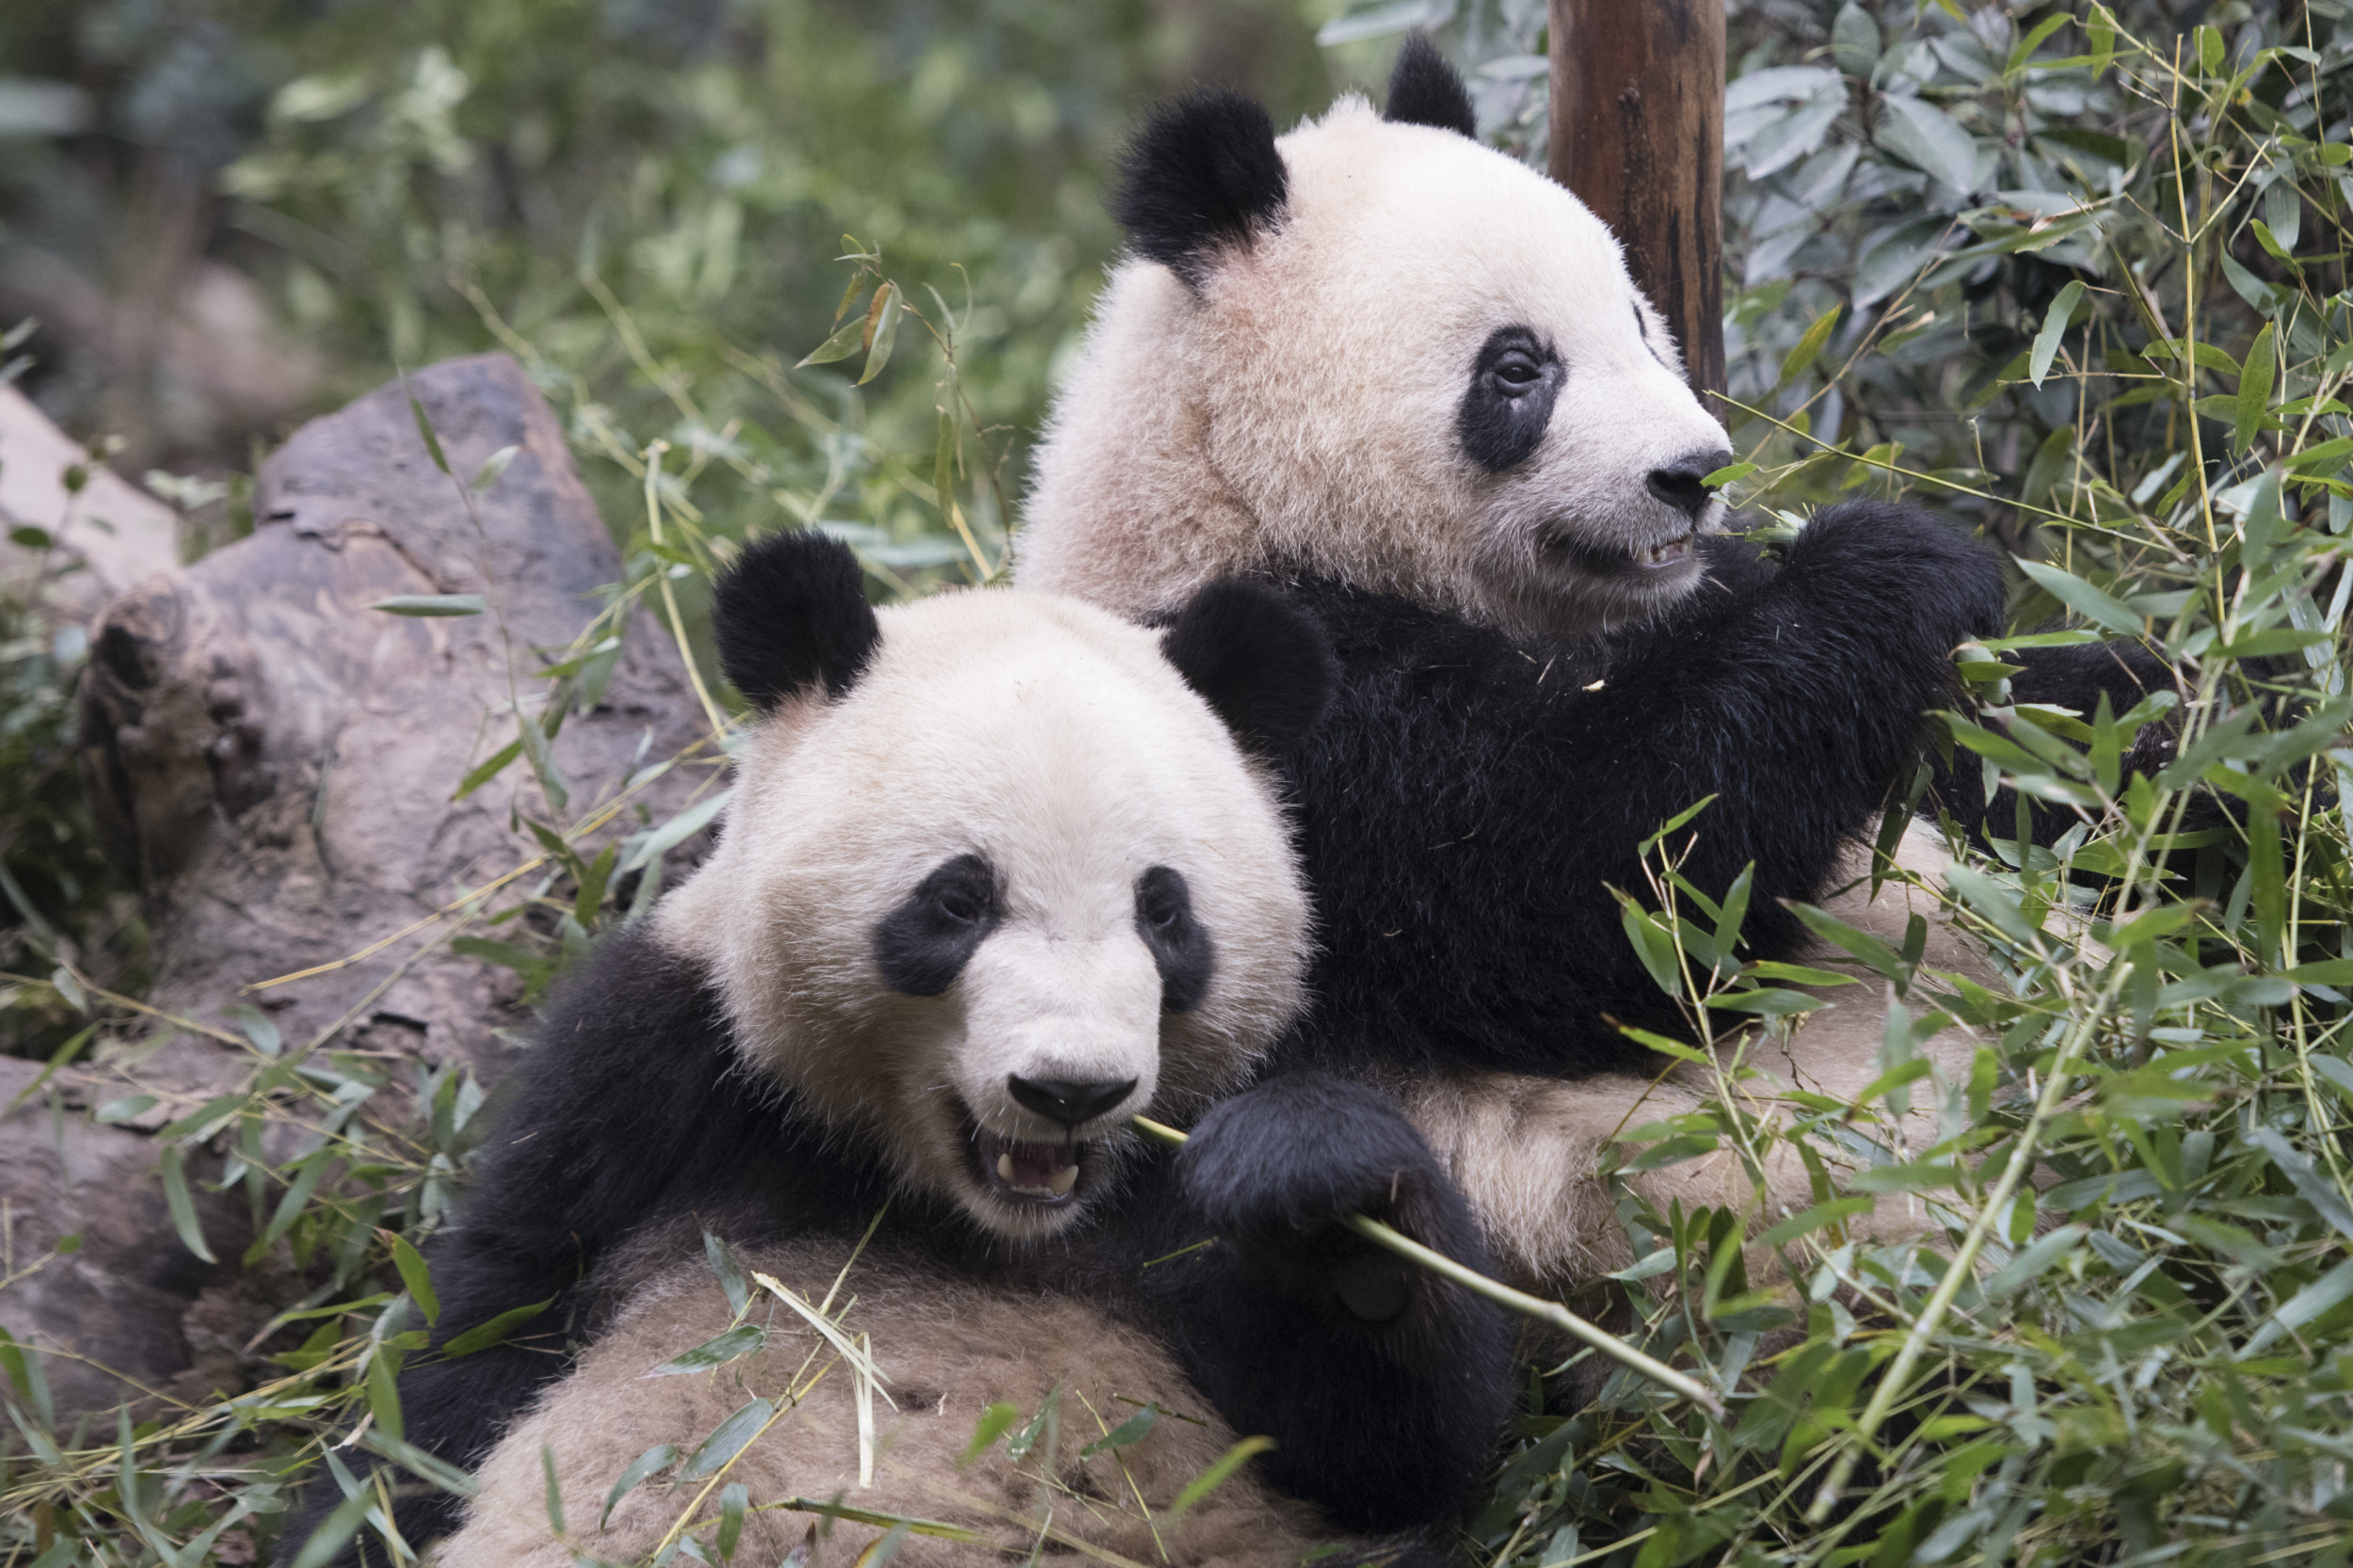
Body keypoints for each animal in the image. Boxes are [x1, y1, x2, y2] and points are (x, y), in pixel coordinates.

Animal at [298, 532, 1506, 1553]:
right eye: (958, 900)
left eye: (1164, 913)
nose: (1071, 1088)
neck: (955, 1205)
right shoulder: (654, 1078)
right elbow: (475, 1348)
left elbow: (1382, 1454)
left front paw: (1314, 1190)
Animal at [1007, 40, 2024, 1280]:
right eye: (1517, 369)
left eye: (1639, 320)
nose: (1694, 474)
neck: (1224, 493)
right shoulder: (1281, 721)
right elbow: (1606, 889)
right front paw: (1903, 565)